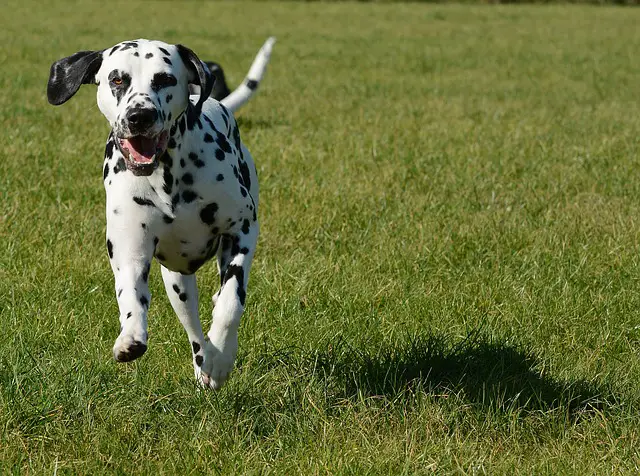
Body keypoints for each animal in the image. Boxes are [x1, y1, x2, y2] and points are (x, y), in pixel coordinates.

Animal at [45, 37, 276, 388]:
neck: (168, 177)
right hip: (177, 283)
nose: (140, 116)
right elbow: (130, 293)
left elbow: (231, 301)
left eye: (165, 79)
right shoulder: (130, 249)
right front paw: (131, 335)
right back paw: (202, 360)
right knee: (193, 327)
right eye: (117, 80)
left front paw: (223, 357)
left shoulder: (242, 230)